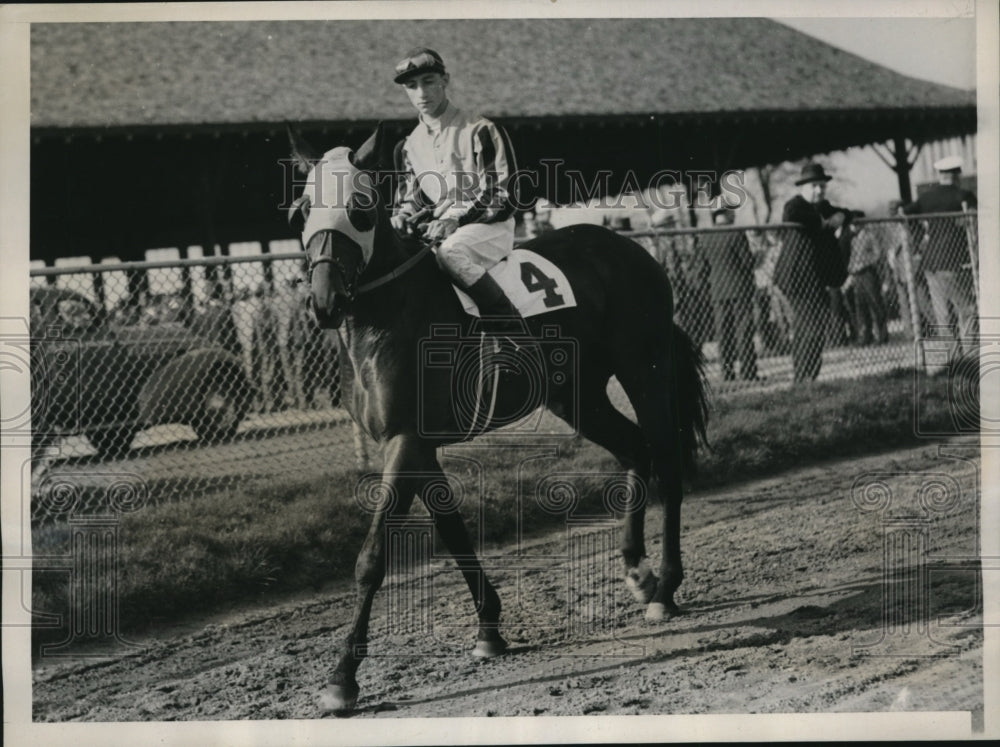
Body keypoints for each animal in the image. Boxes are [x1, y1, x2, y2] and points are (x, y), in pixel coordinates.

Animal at [288, 124, 712, 712]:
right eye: (304, 209)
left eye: (360, 208)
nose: (324, 303)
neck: (388, 316)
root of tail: (629, 249)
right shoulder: (417, 445)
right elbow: (453, 530)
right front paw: (489, 628)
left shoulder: (404, 439)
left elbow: (373, 556)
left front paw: (341, 678)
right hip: (576, 394)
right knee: (634, 448)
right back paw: (638, 572)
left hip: (643, 368)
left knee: (666, 460)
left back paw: (666, 588)